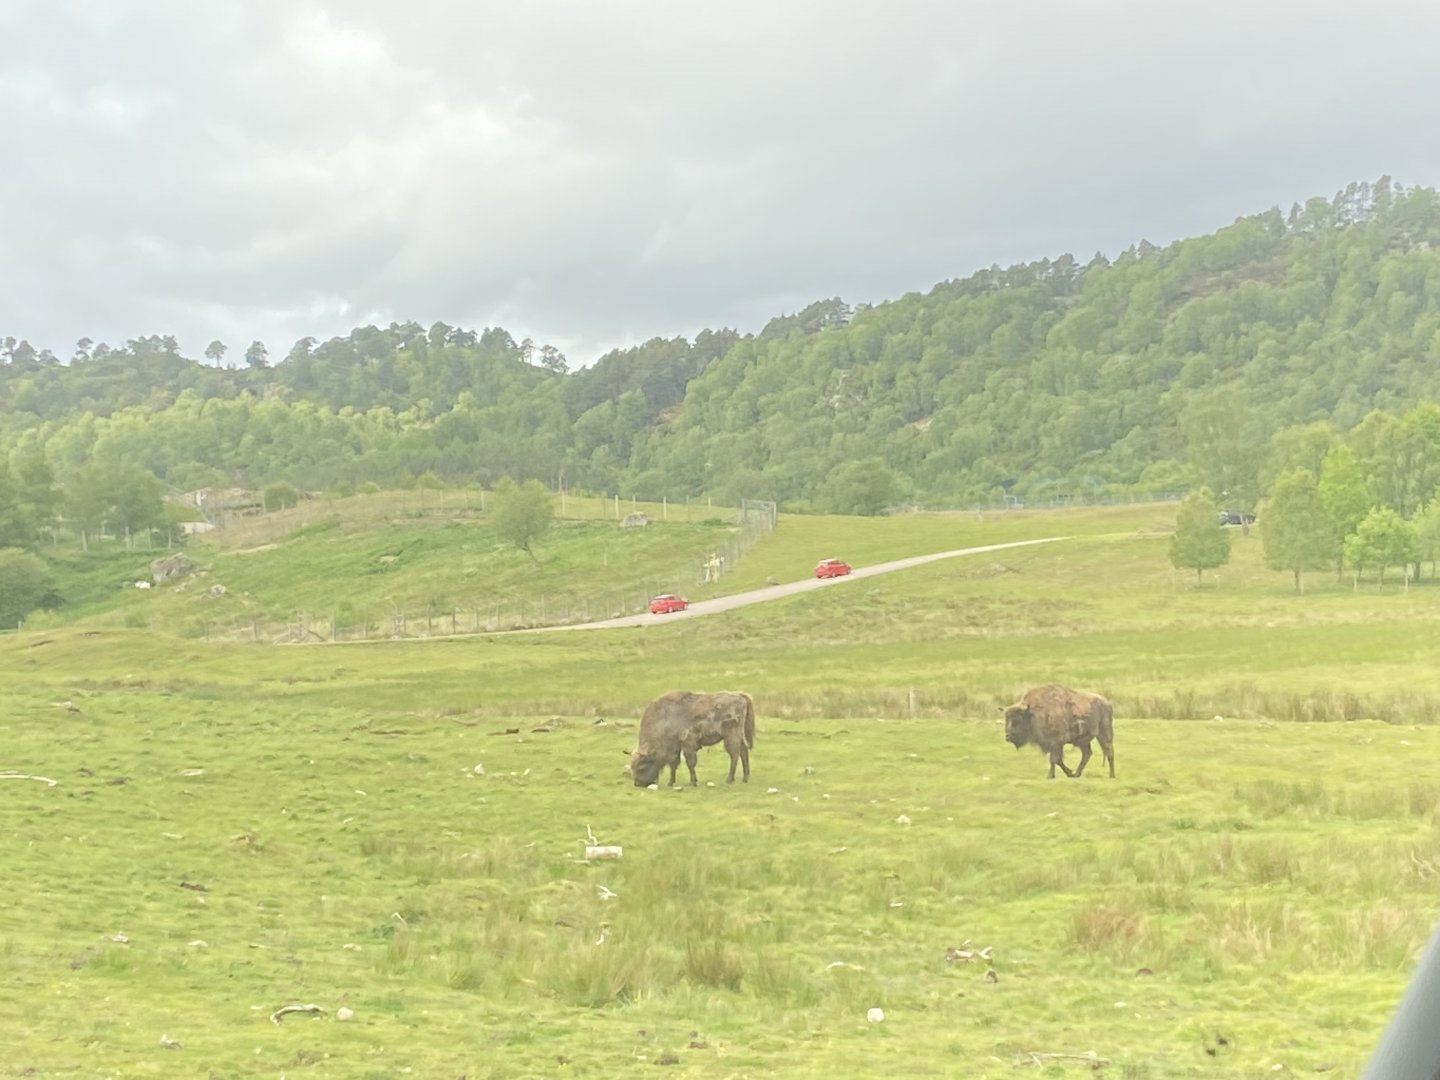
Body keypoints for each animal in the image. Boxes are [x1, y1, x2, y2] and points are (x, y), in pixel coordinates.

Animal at [628, 690, 756, 787]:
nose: (637, 784)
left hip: (730, 736)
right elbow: (673, 764)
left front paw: (693, 782)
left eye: (641, 767)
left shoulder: (687, 744)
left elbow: (690, 763)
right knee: (743, 752)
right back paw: (745, 778)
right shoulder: (676, 747)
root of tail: (740, 696)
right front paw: (671, 782)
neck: (664, 719)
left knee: (735, 755)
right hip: (737, 736)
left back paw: (729, 779)